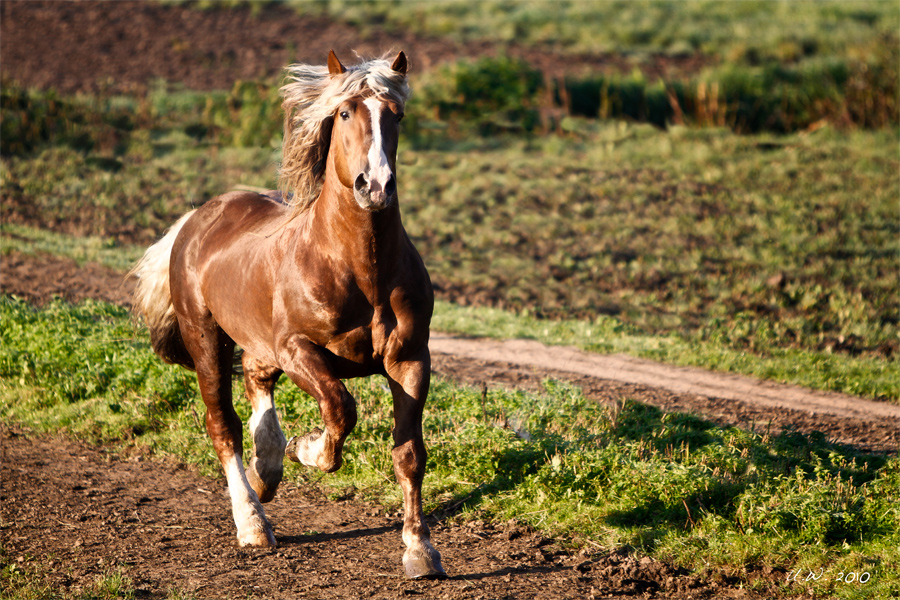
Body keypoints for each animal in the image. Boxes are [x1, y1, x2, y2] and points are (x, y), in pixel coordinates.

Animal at [127, 52, 446, 580]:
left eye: (396, 116)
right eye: (344, 113)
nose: (376, 186)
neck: (360, 269)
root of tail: (198, 217)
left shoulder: (409, 359)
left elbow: (409, 454)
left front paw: (420, 551)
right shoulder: (298, 349)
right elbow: (340, 409)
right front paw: (309, 448)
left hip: (257, 344)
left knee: (257, 393)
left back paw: (267, 469)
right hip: (207, 339)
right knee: (224, 426)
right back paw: (253, 522)